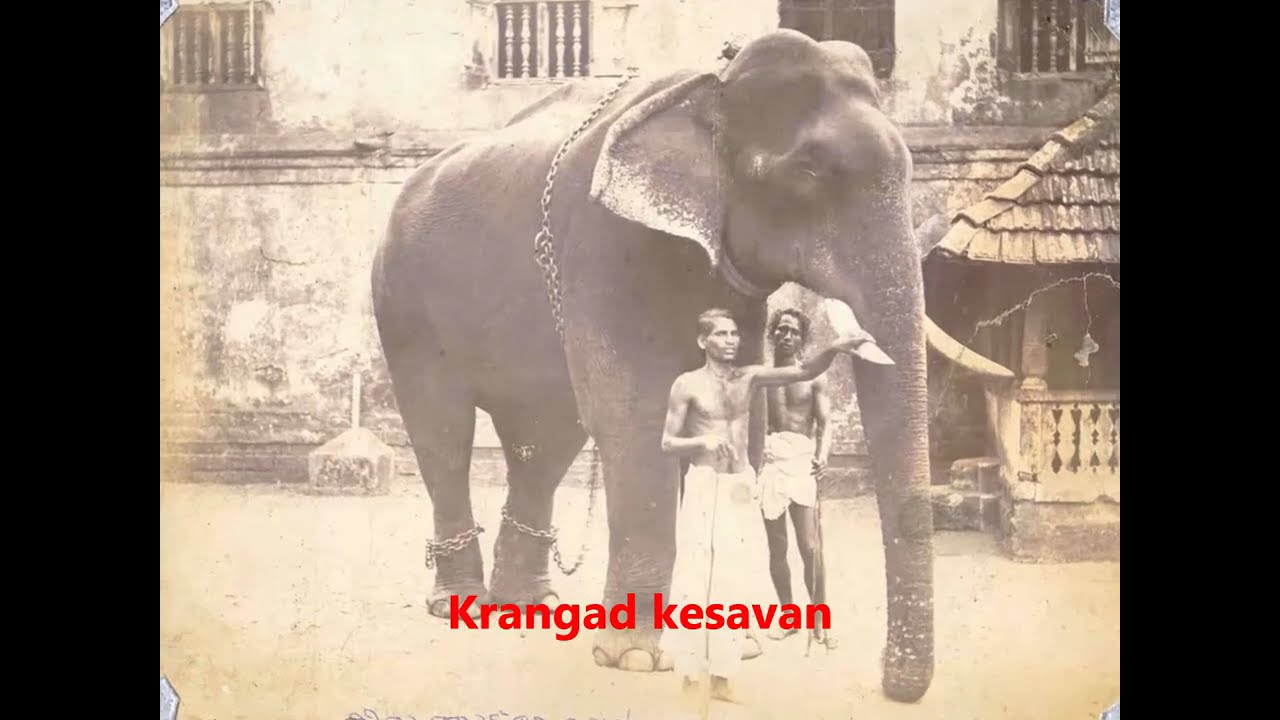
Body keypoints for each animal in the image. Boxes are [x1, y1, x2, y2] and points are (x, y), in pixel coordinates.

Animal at [370, 29, 1013, 703]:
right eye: (808, 173)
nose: (889, 678)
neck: (710, 85)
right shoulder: (605, 244)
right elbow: (633, 412)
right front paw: (634, 658)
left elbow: (741, 419)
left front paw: (742, 646)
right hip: (403, 302)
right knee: (443, 430)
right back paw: (461, 606)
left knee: (544, 442)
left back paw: (527, 604)